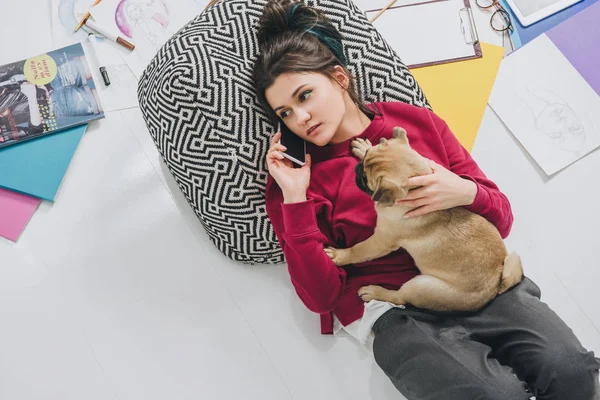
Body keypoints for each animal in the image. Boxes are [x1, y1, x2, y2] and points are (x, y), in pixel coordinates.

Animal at [324, 126, 520, 310]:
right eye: (365, 158)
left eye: (365, 180)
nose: (357, 170)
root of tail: (495, 286)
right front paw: (363, 147)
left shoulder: (382, 240)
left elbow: (358, 250)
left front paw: (339, 255)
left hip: (422, 286)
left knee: (399, 298)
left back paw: (373, 292)